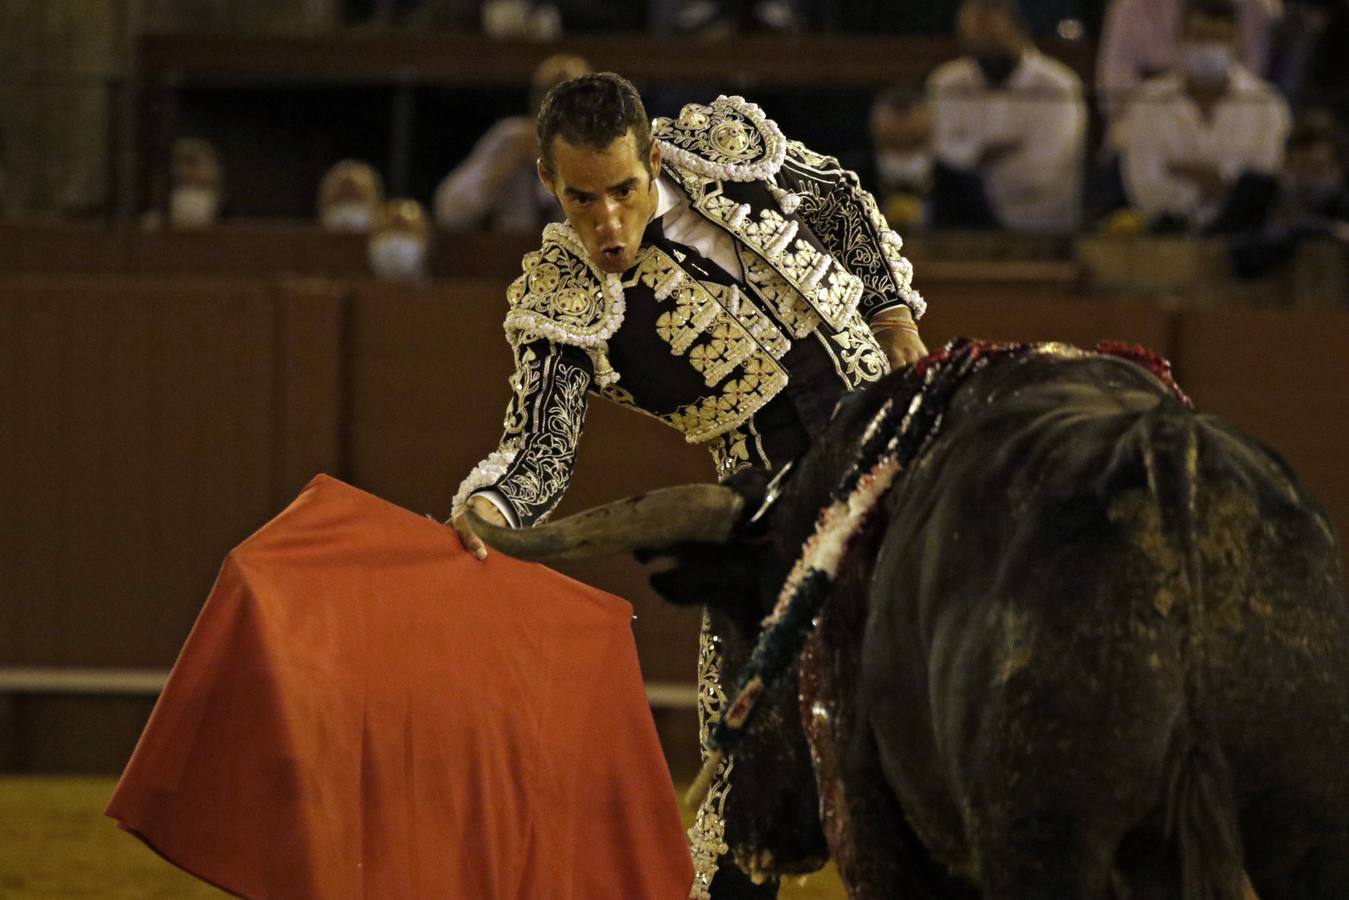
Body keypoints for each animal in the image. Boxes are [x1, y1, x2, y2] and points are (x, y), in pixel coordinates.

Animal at [472, 340, 1349, 900]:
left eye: (751, 617)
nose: (749, 838)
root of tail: (1166, 456)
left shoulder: (878, 831)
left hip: (1042, 839)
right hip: (1306, 826)